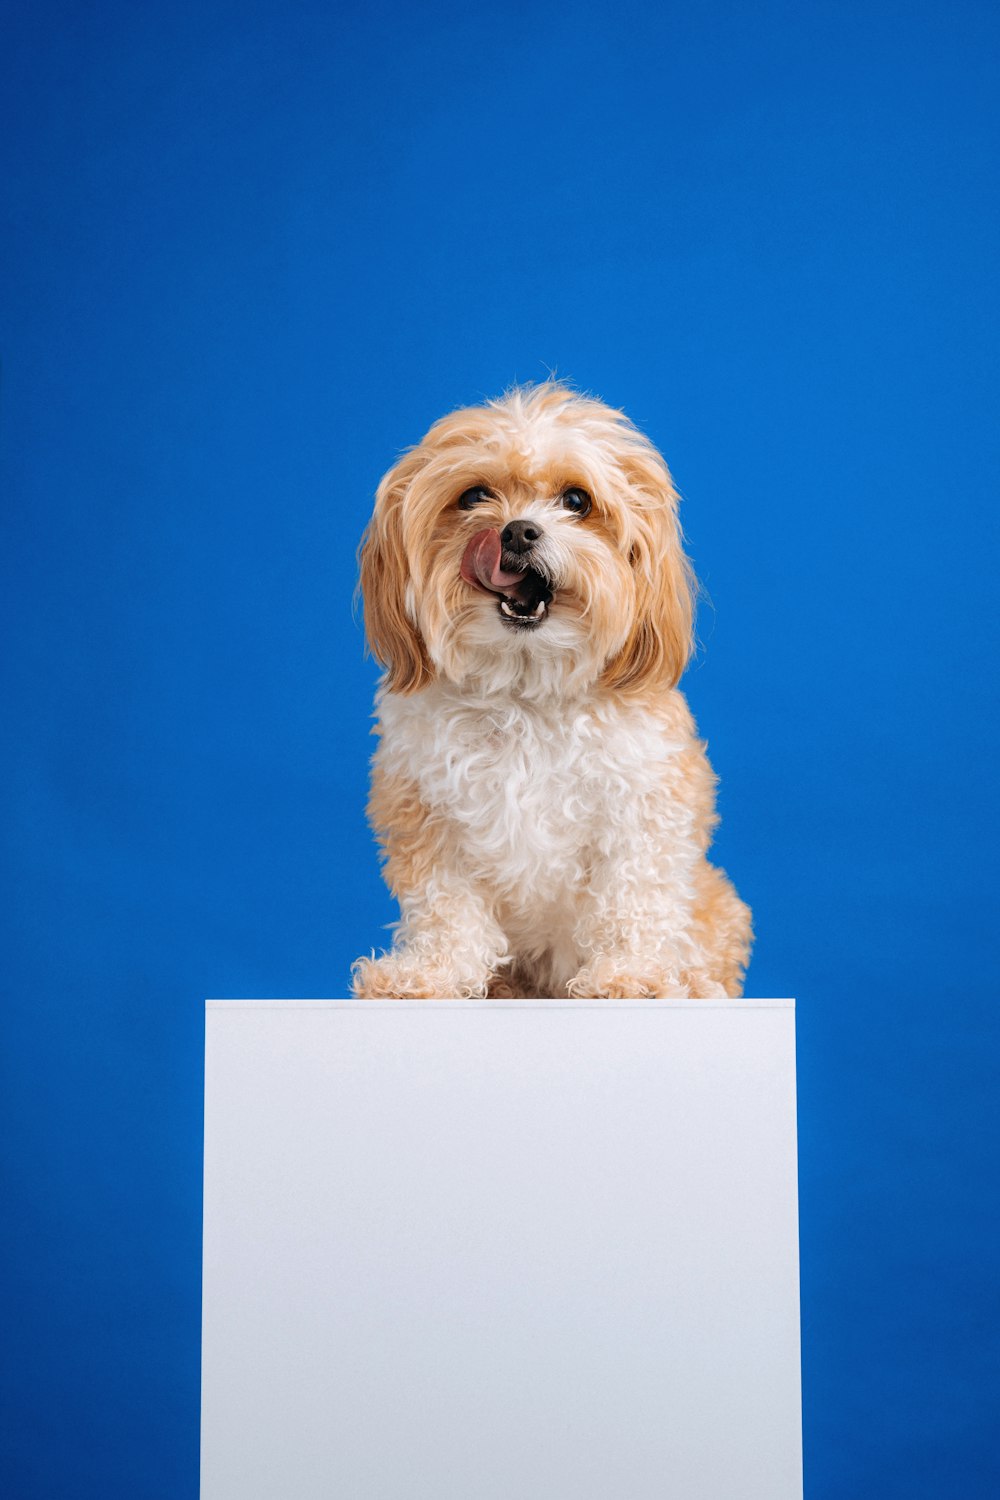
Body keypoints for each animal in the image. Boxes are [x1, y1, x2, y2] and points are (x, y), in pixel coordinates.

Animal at [352, 381, 749, 1002]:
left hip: (719, 904)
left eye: (577, 500)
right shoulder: (426, 815)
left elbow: (633, 897)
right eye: (474, 496)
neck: (526, 689)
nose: (517, 529)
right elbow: (446, 910)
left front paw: (629, 974)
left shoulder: (643, 810)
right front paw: (430, 974)